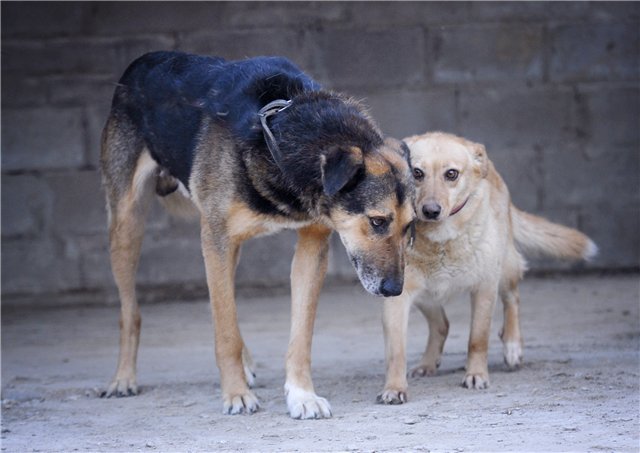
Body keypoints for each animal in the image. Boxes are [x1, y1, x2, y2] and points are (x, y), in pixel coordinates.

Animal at [97, 51, 412, 418]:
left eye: (409, 226)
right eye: (377, 221)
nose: (394, 290)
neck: (280, 139)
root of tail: (140, 63)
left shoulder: (311, 246)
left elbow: (300, 336)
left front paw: (302, 395)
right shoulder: (216, 240)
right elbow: (225, 332)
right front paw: (235, 394)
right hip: (127, 226)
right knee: (131, 312)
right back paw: (123, 378)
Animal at [378, 131, 596, 402]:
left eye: (451, 174)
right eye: (417, 173)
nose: (430, 211)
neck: (441, 240)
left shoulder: (484, 288)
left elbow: (478, 339)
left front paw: (476, 374)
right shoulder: (398, 295)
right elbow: (396, 351)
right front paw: (395, 387)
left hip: (505, 269)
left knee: (512, 299)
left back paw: (512, 346)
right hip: (426, 296)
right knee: (441, 324)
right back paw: (428, 363)